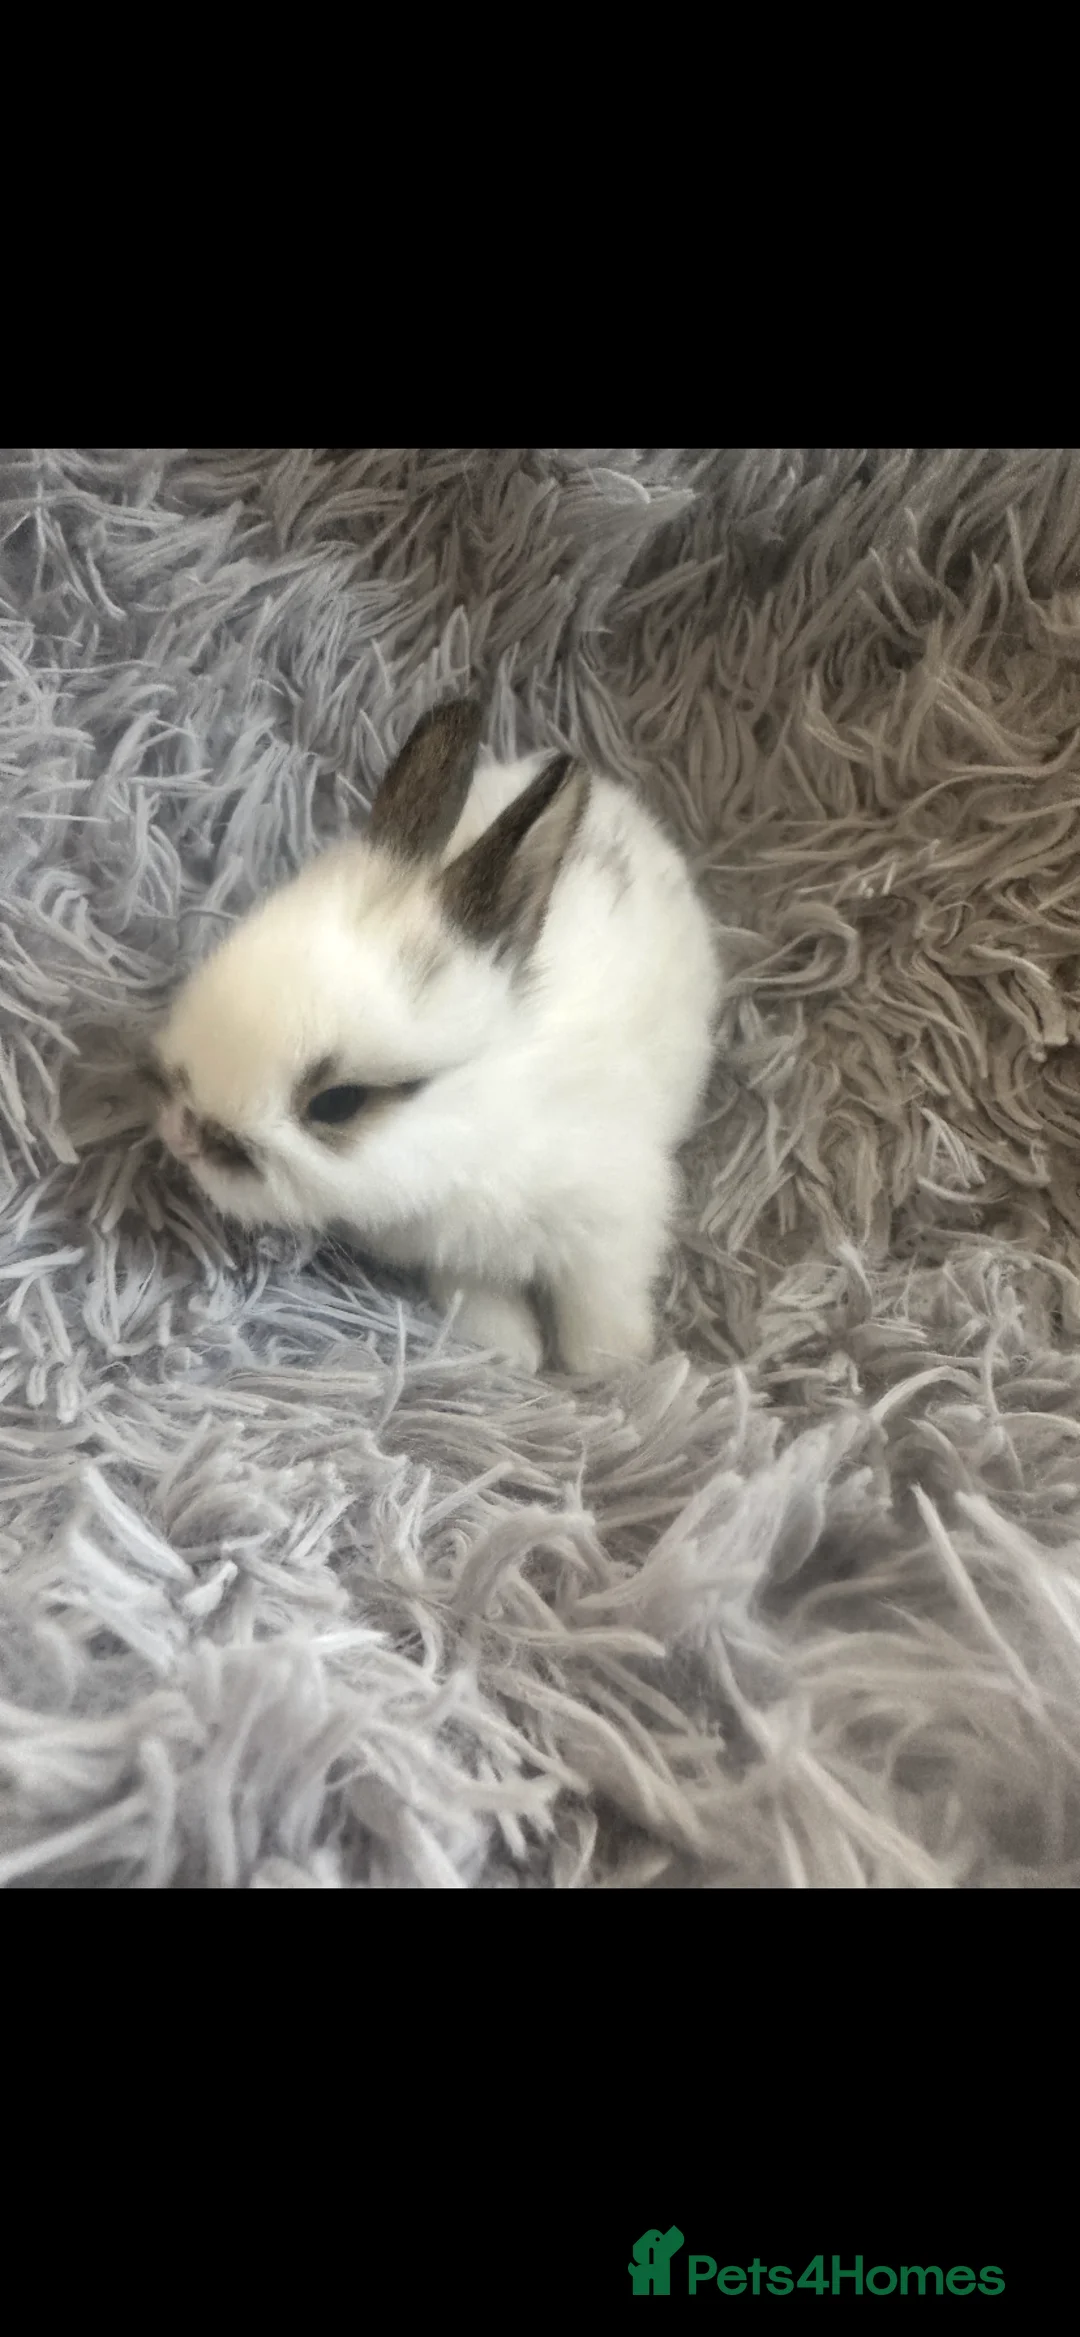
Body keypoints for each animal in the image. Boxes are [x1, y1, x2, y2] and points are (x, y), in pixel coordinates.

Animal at [148, 699, 721, 1376]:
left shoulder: (611, 1230)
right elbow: (483, 1303)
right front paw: (511, 1356)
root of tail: (618, 800)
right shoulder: (458, 1258)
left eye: (337, 1103)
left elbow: (599, 1309)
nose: (185, 1136)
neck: (478, 1126)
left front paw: (611, 1370)